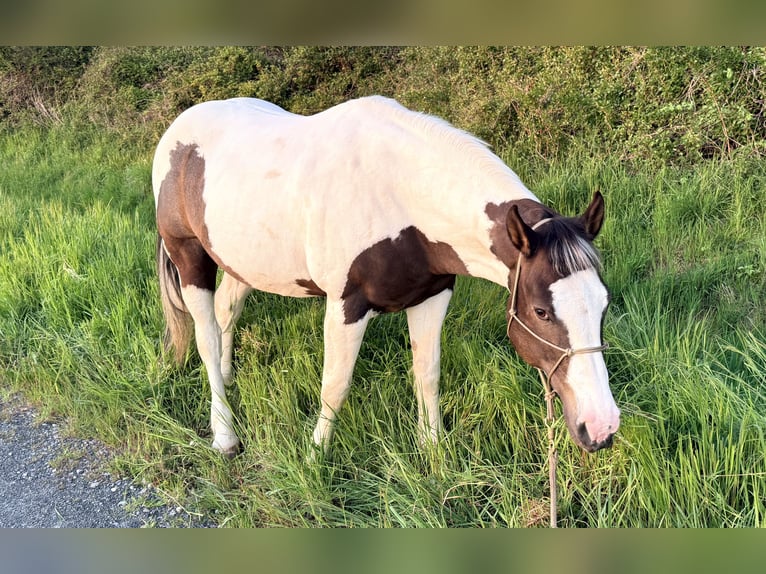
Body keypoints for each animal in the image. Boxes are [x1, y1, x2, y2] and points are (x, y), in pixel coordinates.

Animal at [153, 96, 620, 457]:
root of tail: (177, 131)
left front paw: (433, 449)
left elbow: (427, 373)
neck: (399, 195)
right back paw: (225, 434)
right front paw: (315, 457)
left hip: (243, 262)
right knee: (206, 339)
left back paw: (230, 377)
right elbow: (335, 385)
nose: (601, 428)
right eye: (541, 311)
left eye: (603, 305)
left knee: (226, 312)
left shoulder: (432, 296)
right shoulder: (346, 307)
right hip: (190, 258)